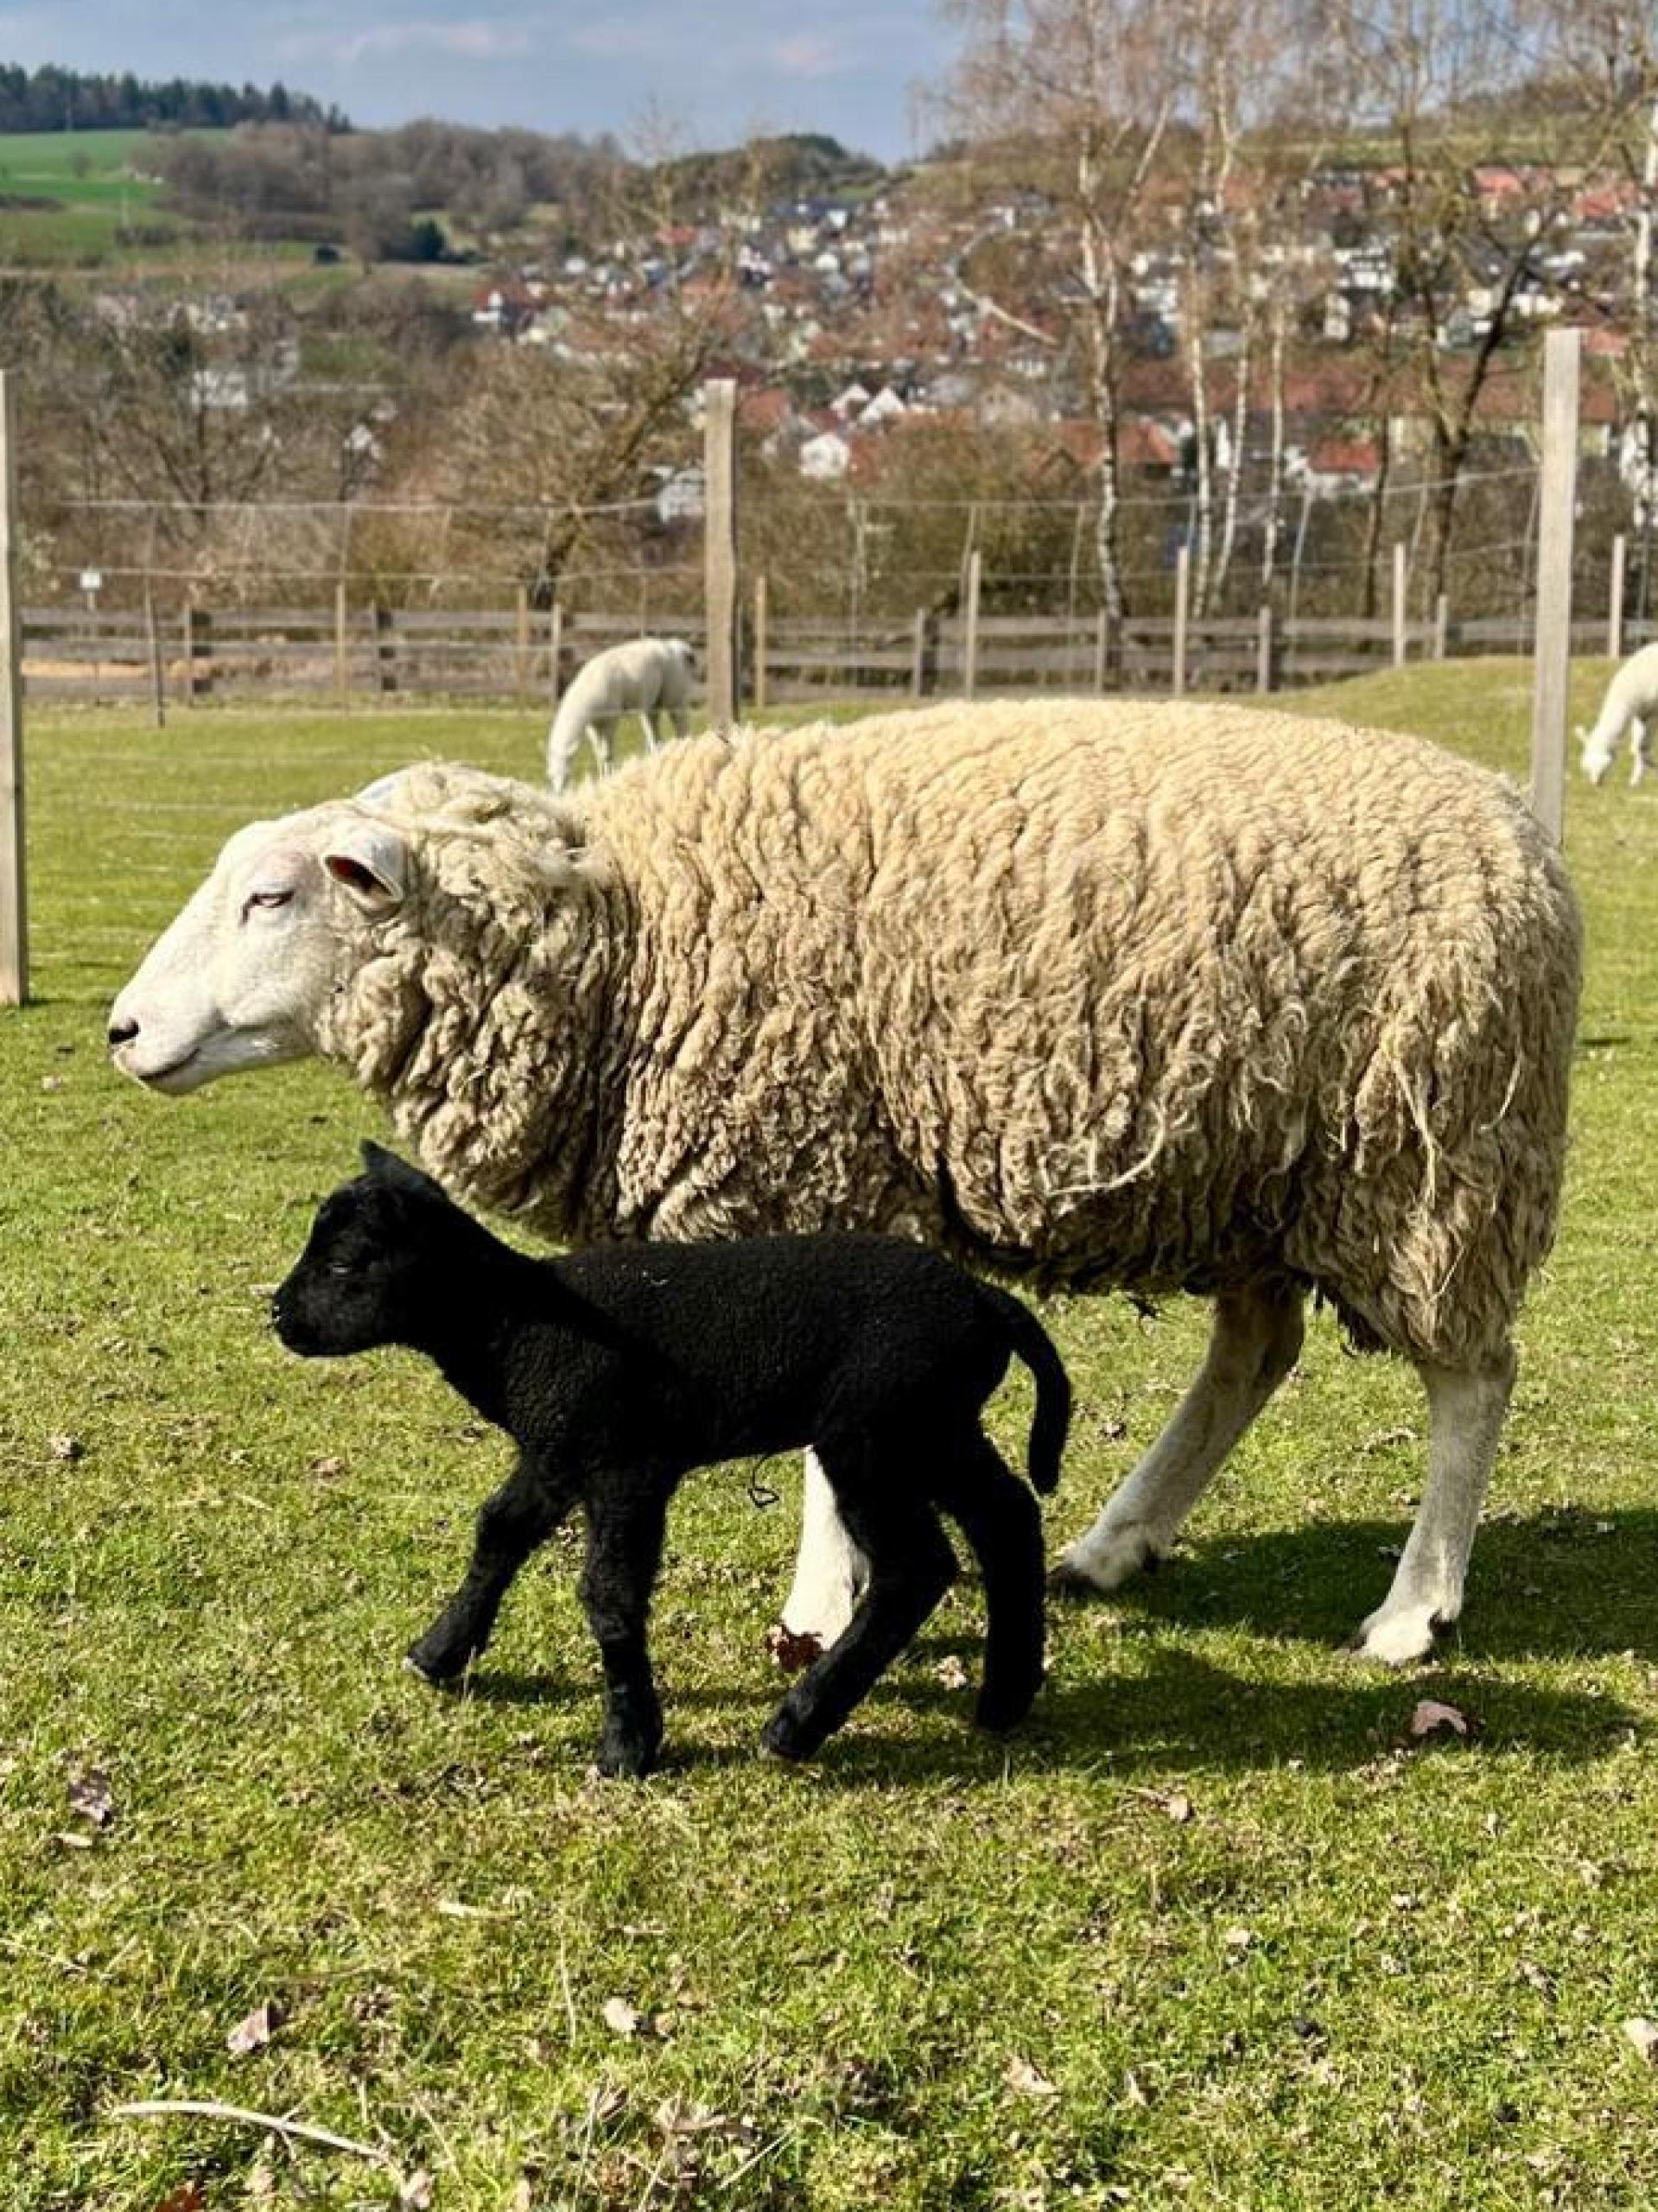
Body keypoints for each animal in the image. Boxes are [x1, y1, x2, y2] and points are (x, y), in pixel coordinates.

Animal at [108, 696, 1582, 1668]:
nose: (122, 1031)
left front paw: (818, 1608)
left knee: (1472, 1379)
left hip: (1428, 1160)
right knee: (1253, 1353)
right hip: (1253, 1172)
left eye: (274, 898)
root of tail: (1523, 835)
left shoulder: (814, 1171)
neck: (625, 940)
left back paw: (1410, 1611)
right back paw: (1117, 1541)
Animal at [273, 1142, 1070, 1774]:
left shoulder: (627, 1464)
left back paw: (795, 1726)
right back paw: (1004, 1697)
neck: (514, 1327)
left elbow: (608, 1596)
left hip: (875, 1430)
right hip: (936, 1427)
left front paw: (629, 1745)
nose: (277, 1314)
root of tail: (985, 1300)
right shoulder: (557, 1453)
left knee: (916, 1567)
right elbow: (498, 1532)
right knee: (1007, 1519)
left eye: (343, 1263)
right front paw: (439, 1652)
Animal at [546, 636, 696, 793]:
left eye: (567, 775)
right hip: (653, 704)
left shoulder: (611, 719)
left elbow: (607, 754)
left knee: (682, 727)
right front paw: (602, 779)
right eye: (549, 776)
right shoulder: (593, 725)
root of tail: (677, 648)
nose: (558, 792)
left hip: (675, 697)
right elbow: (599, 754)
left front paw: (609, 779)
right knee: (655, 736)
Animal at [1578, 641, 1658, 787]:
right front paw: (1634, 782)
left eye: (1605, 765)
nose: (1596, 784)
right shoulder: (1639, 711)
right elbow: (1636, 747)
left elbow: (1643, 747)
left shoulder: (1654, 711)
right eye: (1586, 767)